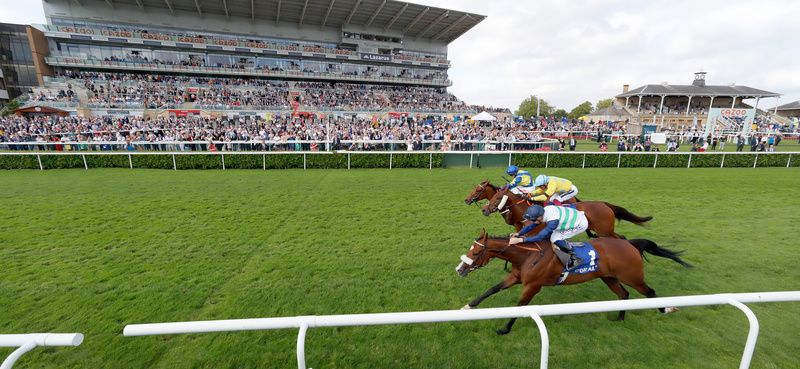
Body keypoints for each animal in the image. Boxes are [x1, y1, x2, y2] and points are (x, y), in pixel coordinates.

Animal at [454, 230, 692, 334]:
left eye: (476, 252)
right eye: (471, 249)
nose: (459, 269)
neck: (528, 255)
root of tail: (630, 244)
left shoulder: (532, 286)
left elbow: (521, 307)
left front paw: (504, 329)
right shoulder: (516, 277)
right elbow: (491, 289)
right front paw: (467, 306)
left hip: (632, 277)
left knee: (650, 292)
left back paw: (666, 309)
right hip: (608, 277)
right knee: (623, 295)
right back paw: (620, 318)